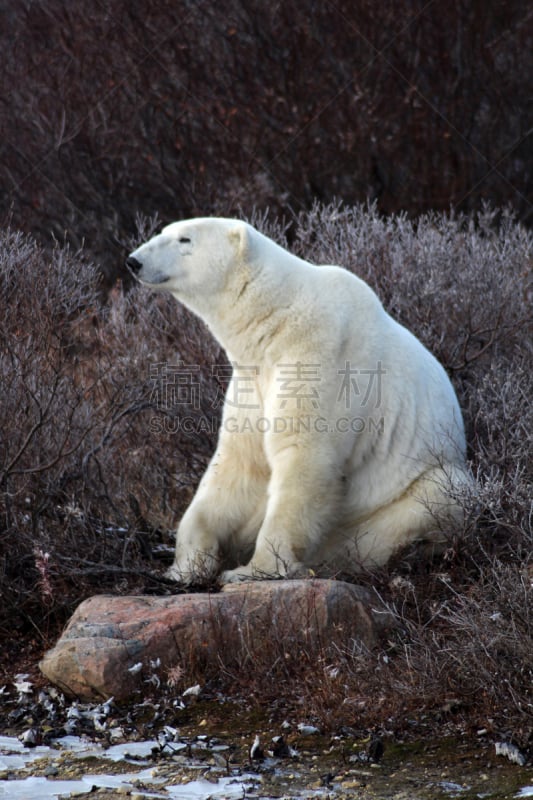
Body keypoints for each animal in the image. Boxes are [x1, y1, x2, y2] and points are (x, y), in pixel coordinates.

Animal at [125, 217, 470, 580]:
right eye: (163, 231)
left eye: (184, 239)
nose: (134, 261)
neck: (278, 317)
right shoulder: (253, 380)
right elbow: (240, 465)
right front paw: (186, 565)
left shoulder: (321, 356)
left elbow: (304, 456)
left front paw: (254, 570)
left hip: (411, 493)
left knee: (433, 497)